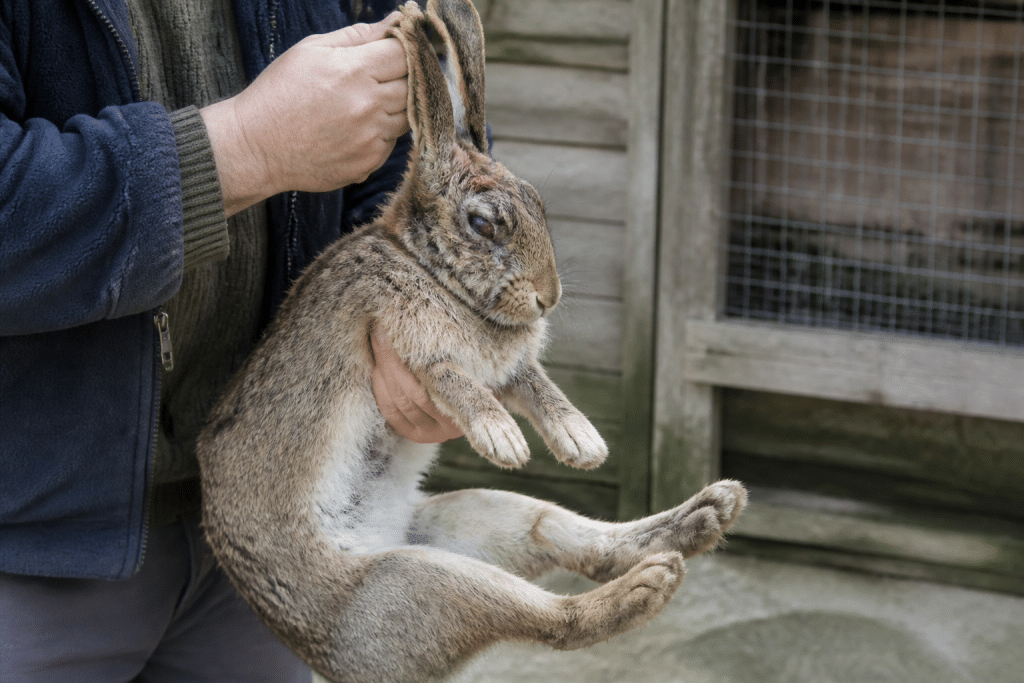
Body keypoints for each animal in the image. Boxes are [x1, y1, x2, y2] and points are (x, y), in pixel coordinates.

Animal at [195, 1, 747, 682]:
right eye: (484, 224)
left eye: (539, 205)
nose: (548, 297)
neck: (429, 269)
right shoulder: (408, 345)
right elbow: (456, 381)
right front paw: (504, 439)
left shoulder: (508, 367)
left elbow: (537, 384)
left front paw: (581, 443)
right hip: (421, 583)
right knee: (555, 620)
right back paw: (650, 583)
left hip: (480, 520)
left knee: (573, 539)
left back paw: (704, 516)